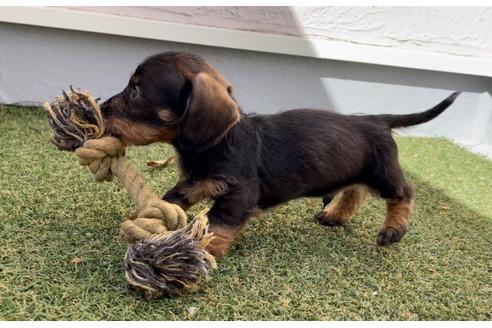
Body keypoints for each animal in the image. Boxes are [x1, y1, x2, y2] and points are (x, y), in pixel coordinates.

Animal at [94, 51, 460, 258]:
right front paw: (150, 218)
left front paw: (201, 249)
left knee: (403, 193)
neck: (219, 143)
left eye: (136, 91)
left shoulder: (238, 193)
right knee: (355, 192)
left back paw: (393, 229)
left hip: (383, 173)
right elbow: (171, 201)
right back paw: (335, 215)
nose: (101, 107)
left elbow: (217, 221)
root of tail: (377, 120)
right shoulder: (193, 183)